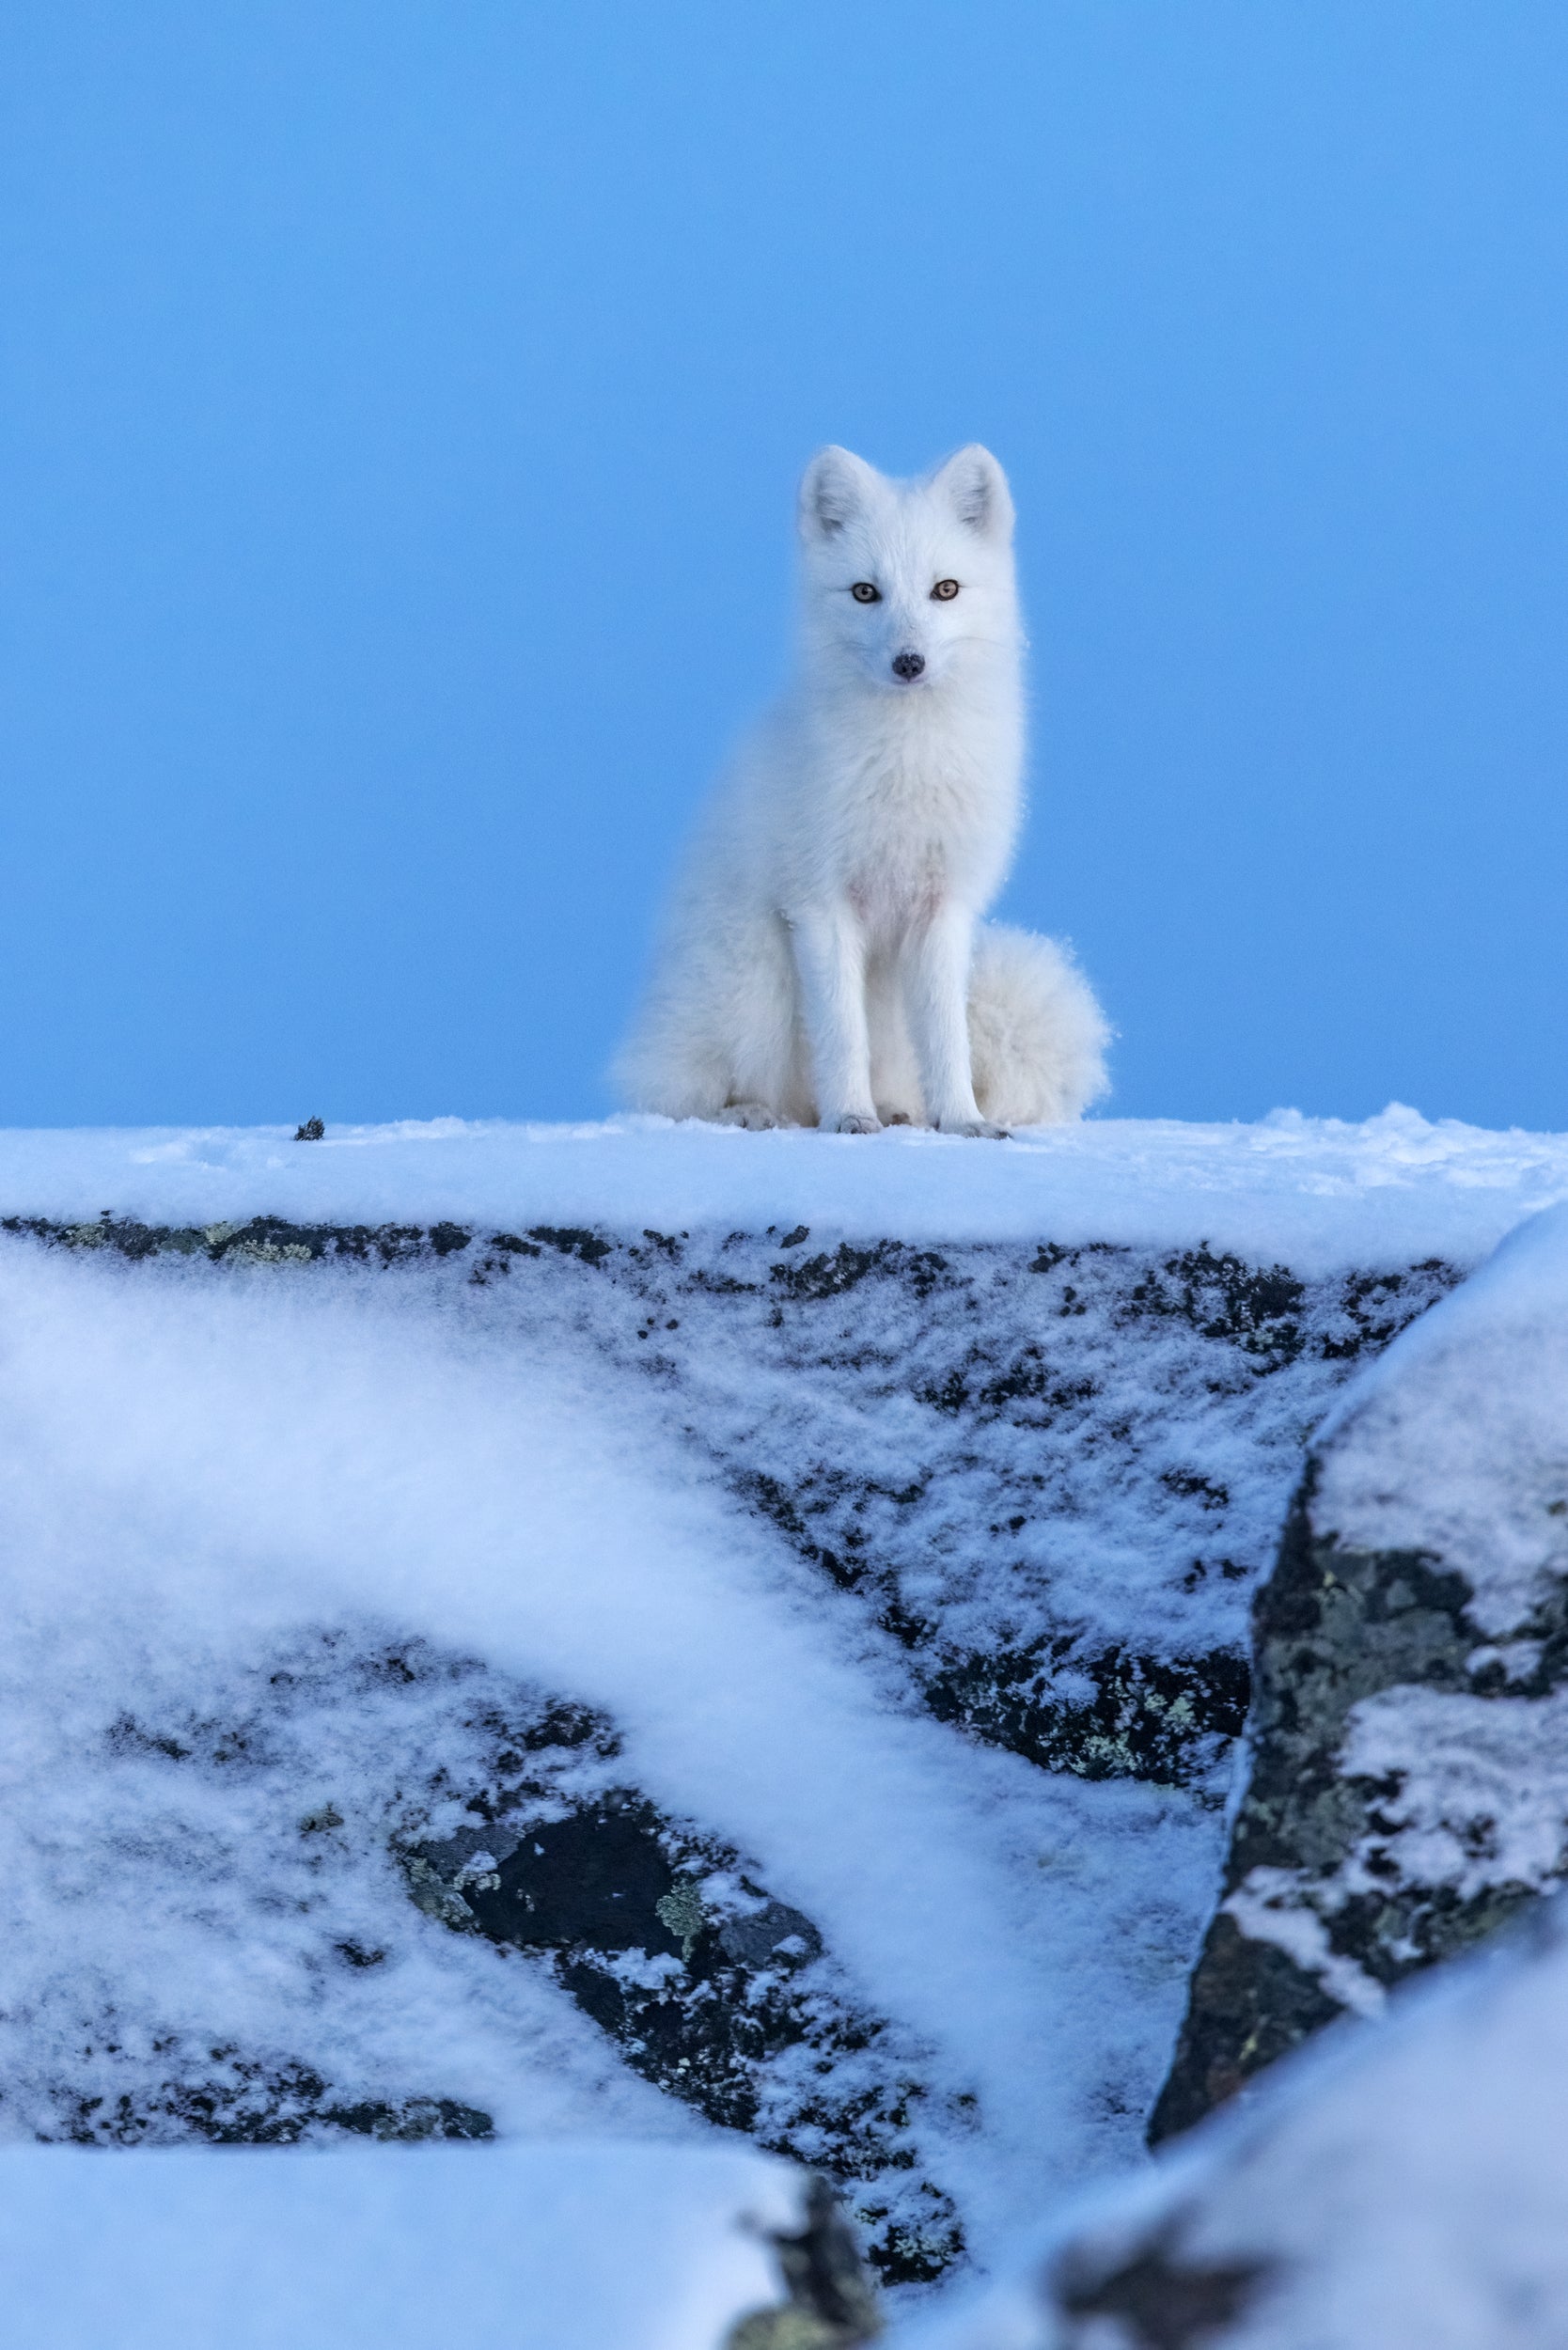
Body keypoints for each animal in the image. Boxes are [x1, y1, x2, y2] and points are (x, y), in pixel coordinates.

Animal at [614, 443, 1110, 1136]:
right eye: (865, 592)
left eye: (945, 589)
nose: (909, 663)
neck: (908, 763)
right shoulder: (820, 904)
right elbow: (842, 1035)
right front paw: (850, 1116)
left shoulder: (943, 909)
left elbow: (947, 1039)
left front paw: (963, 1121)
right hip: (754, 986)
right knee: (679, 1094)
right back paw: (755, 1112)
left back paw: (898, 1110)